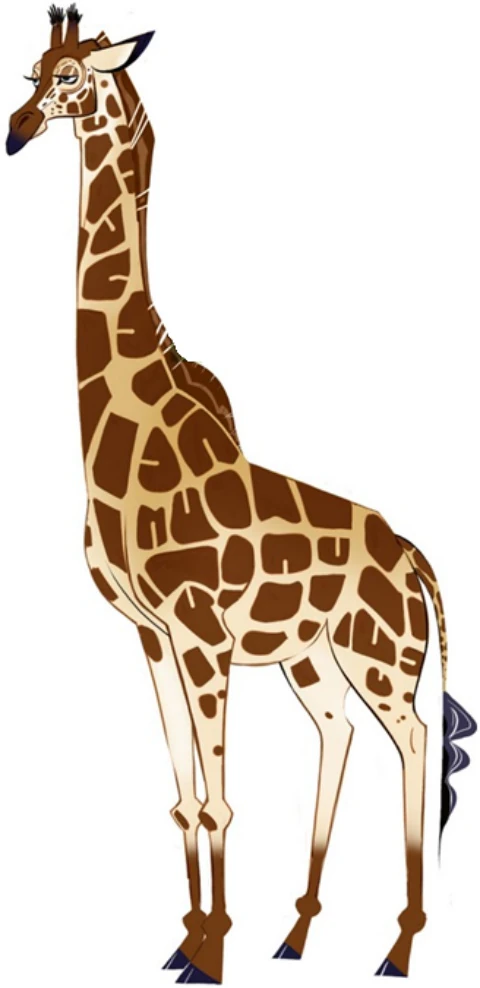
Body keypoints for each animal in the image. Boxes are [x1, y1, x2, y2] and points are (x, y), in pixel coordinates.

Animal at [6, 8, 476, 984]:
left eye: (71, 79)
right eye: (32, 71)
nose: (16, 131)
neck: (117, 411)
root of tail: (412, 552)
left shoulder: (200, 634)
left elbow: (220, 799)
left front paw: (213, 950)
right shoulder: (150, 635)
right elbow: (184, 796)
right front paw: (188, 937)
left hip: (382, 655)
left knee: (415, 741)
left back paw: (399, 944)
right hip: (313, 659)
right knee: (338, 733)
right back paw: (298, 931)